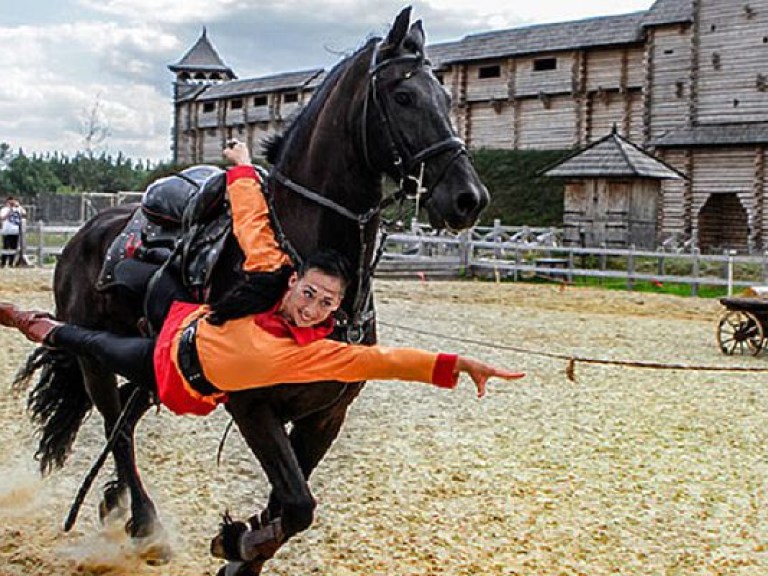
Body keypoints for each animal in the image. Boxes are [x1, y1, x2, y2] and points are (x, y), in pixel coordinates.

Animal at [18, 6, 488, 572]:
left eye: (445, 97)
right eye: (403, 96)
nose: (468, 198)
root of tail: (84, 235)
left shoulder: (325, 415)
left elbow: (289, 505)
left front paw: (244, 550)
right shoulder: (250, 405)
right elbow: (297, 503)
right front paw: (236, 542)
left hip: (150, 362)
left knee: (126, 421)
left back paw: (116, 503)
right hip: (94, 362)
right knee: (120, 428)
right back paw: (144, 523)